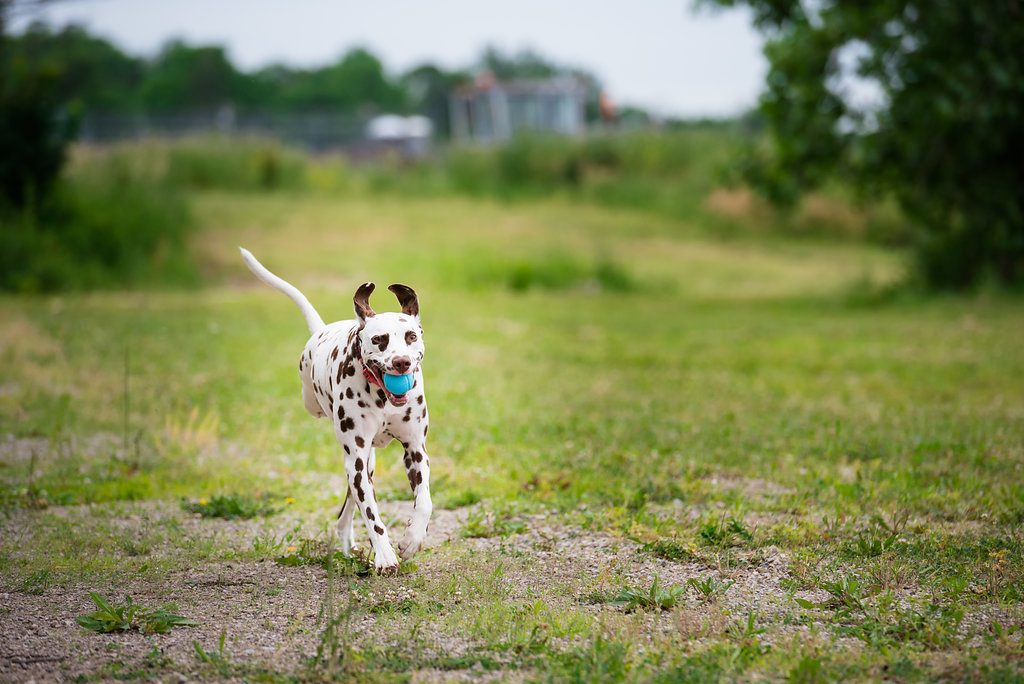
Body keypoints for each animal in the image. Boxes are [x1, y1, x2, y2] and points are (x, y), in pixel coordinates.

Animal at [239, 248, 432, 573]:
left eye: (411, 336)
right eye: (379, 339)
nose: (401, 362)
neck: (382, 398)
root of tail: (322, 329)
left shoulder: (415, 450)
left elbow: (425, 502)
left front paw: (411, 541)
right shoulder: (356, 459)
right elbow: (372, 515)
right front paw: (385, 555)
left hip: (367, 463)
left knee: (347, 512)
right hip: (337, 435)